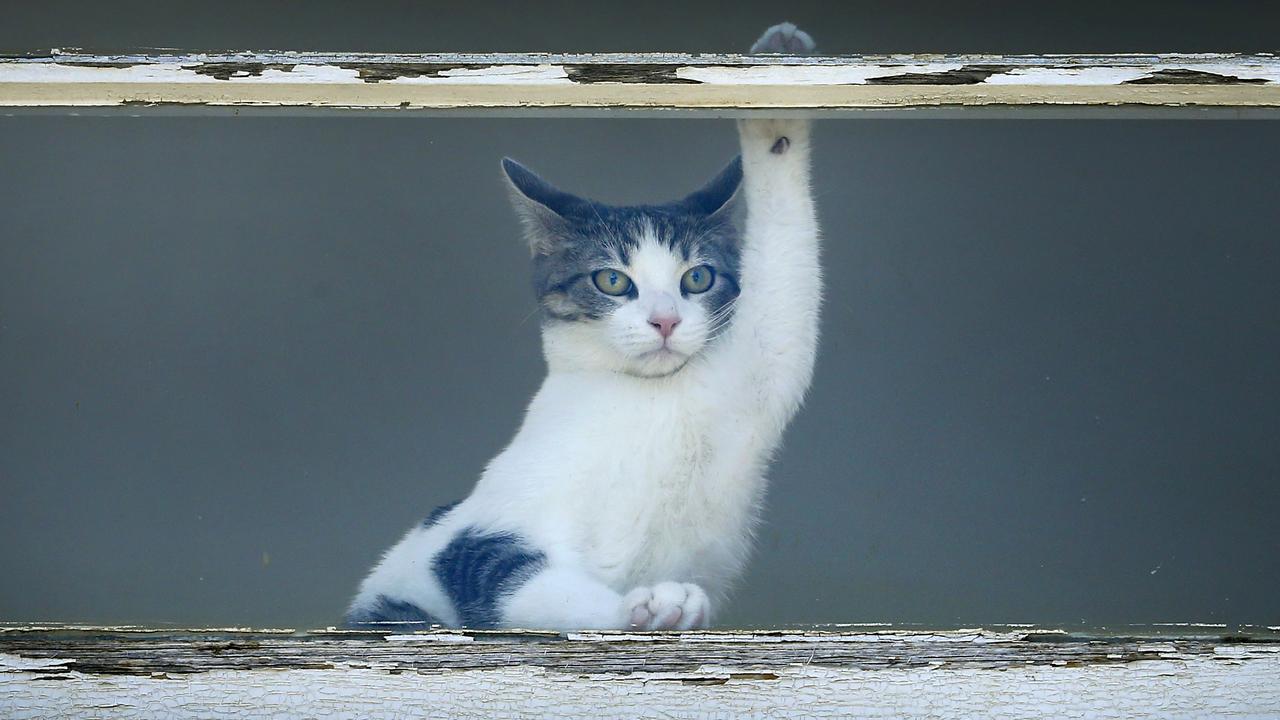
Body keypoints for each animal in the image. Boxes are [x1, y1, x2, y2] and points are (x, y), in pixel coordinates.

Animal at [345, 20, 819, 627]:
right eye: (612, 280)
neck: (646, 400)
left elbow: (786, 290)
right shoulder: (479, 535)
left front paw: (780, 85)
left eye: (697, 278)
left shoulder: (759, 367)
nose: (665, 320)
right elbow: (523, 584)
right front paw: (648, 606)